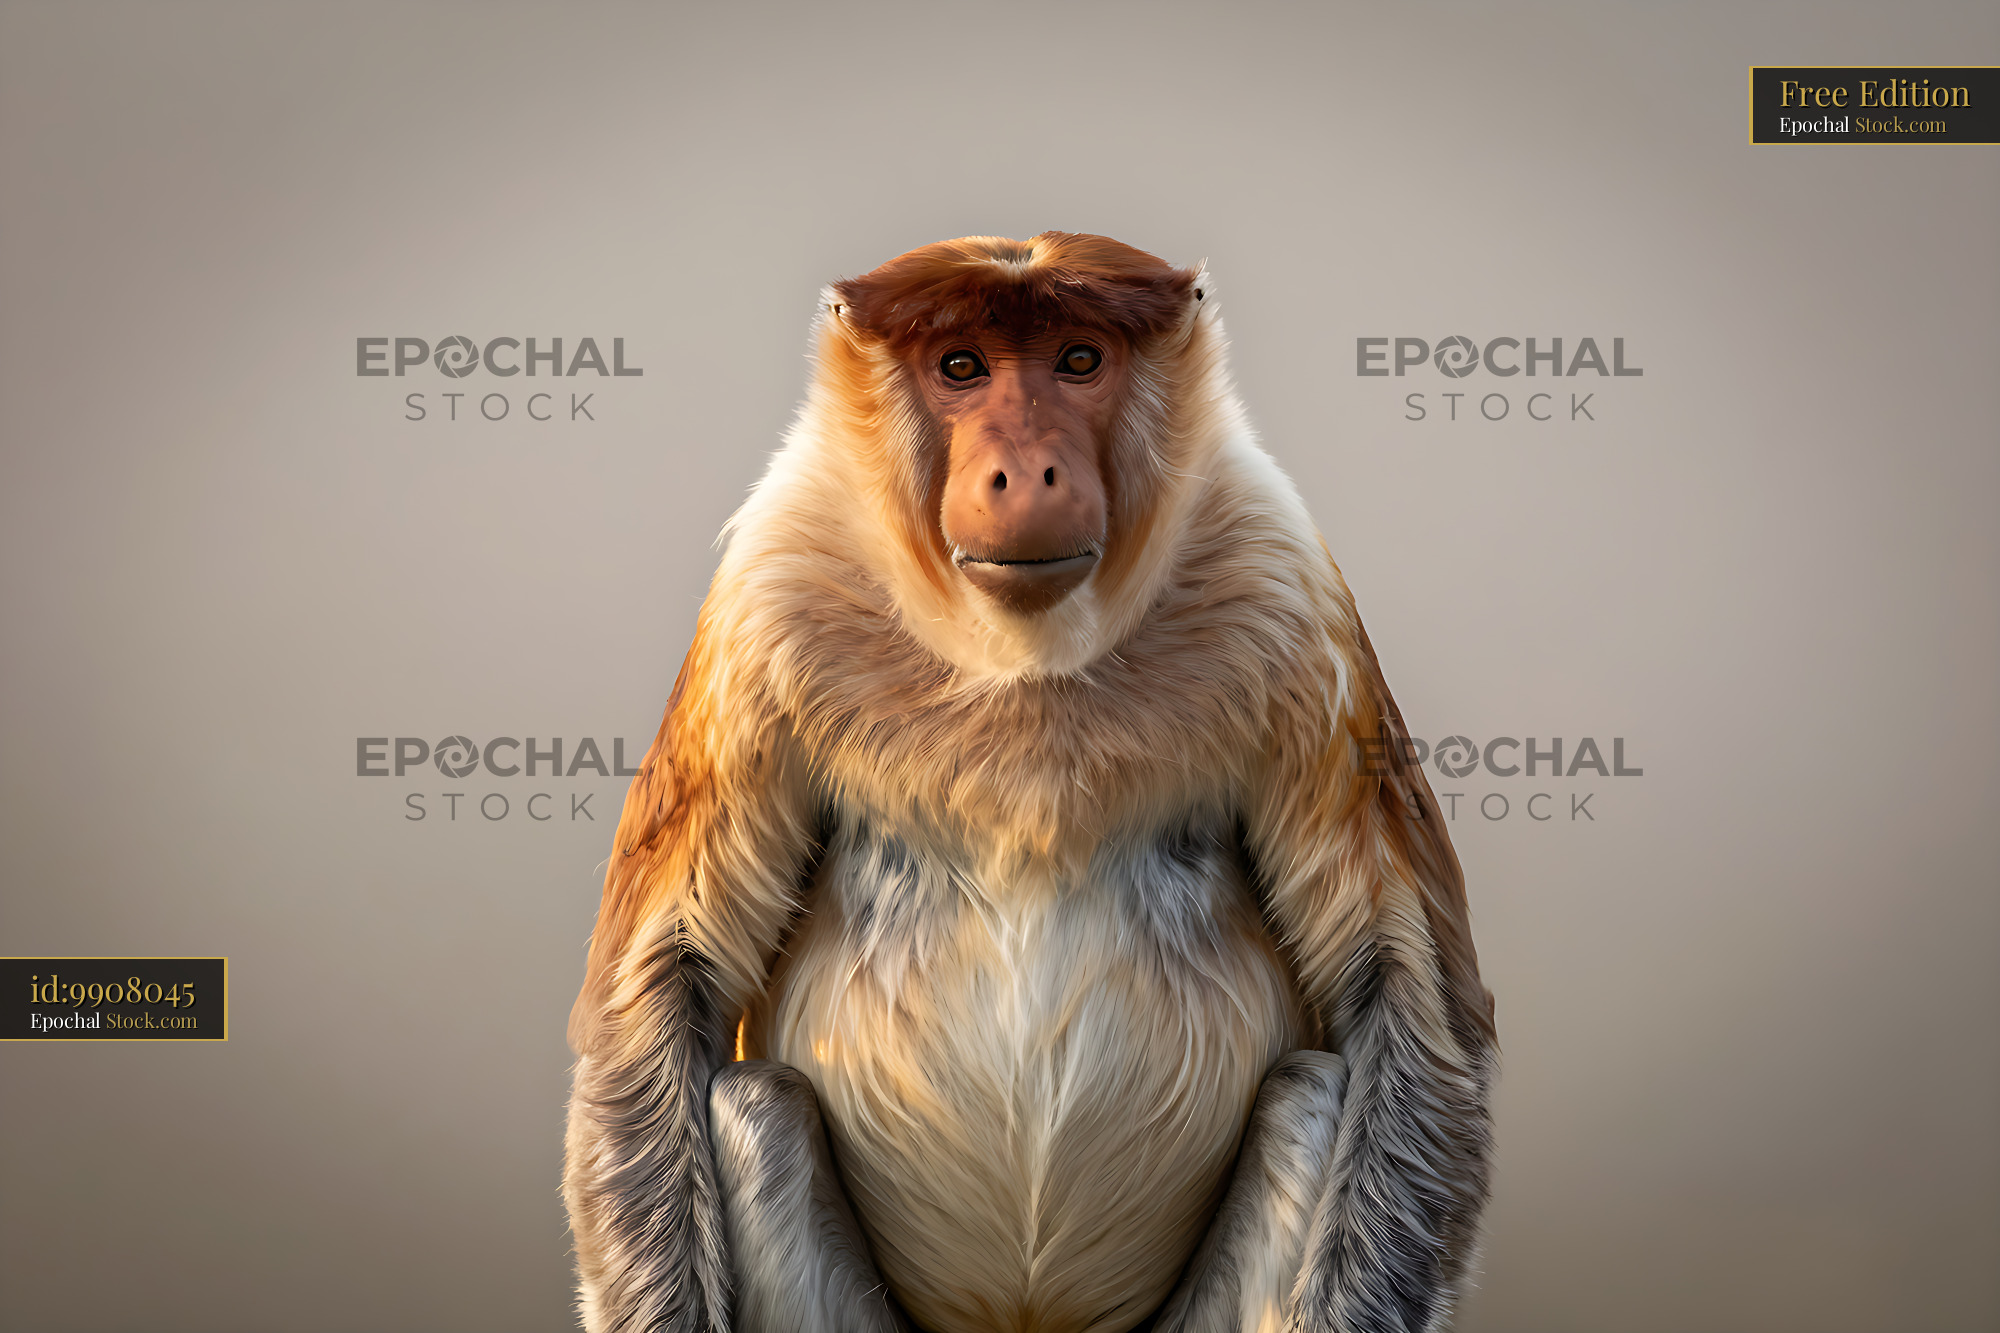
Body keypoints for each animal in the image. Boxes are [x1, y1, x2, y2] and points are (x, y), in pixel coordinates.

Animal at [564, 233, 1495, 1333]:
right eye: (960, 365)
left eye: (1079, 360)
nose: (1027, 472)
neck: (1021, 655)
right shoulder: (764, 592)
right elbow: (670, 982)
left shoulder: (1286, 581)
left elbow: (1398, 990)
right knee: (752, 1105)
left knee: (1312, 1091)